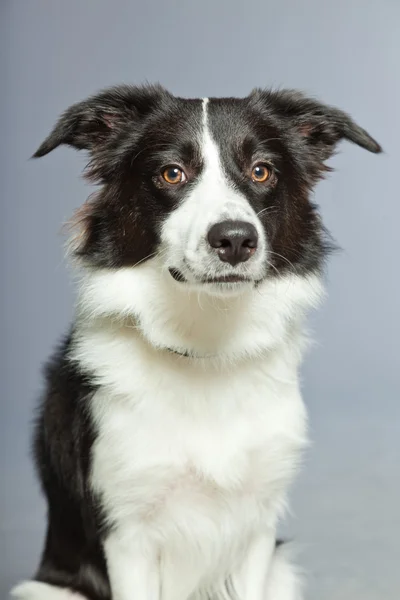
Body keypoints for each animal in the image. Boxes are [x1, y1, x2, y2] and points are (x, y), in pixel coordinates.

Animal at [10, 84, 382, 600]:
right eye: (172, 173)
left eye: (261, 170)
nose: (235, 240)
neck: (207, 346)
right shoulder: (127, 532)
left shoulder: (258, 527)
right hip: (45, 589)